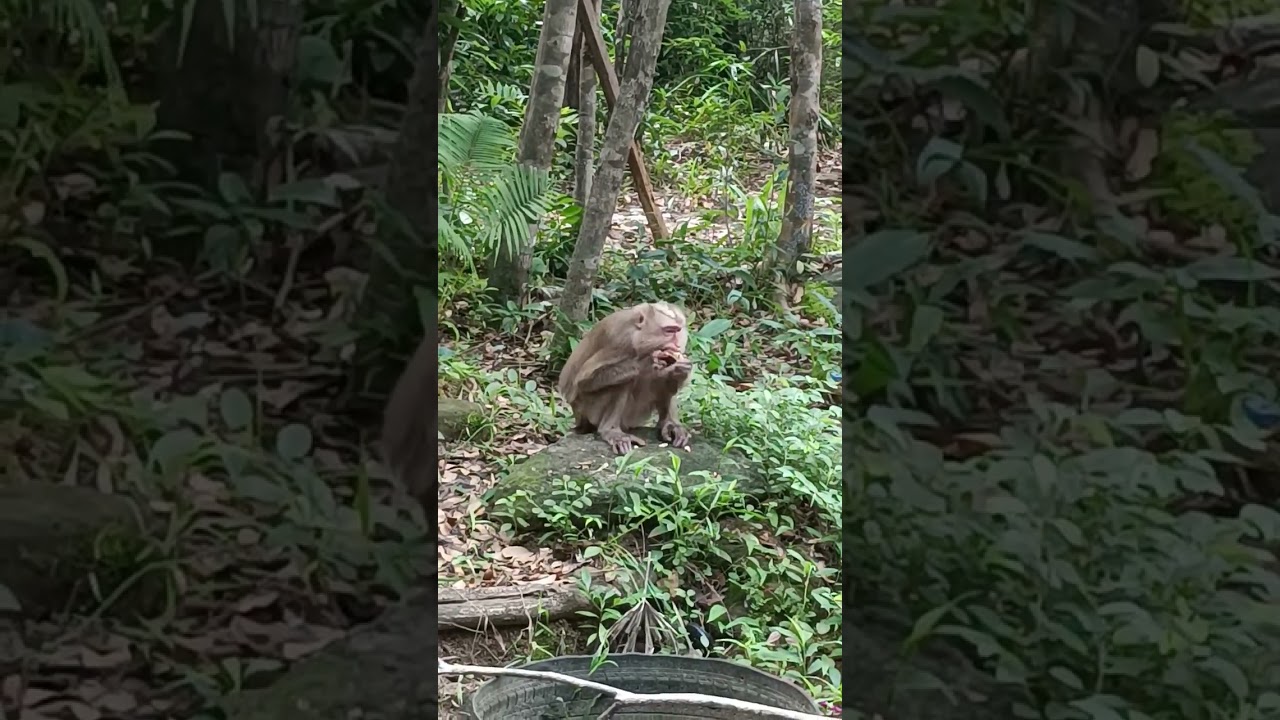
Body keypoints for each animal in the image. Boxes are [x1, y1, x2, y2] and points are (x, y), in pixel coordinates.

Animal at [557, 303, 693, 454]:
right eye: (669, 331)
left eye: (677, 331)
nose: (676, 345)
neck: (638, 338)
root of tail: (578, 416)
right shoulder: (619, 340)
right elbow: (582, 381)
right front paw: (646, 363)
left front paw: (680, 369)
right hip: (590, 410)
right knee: (623, 381)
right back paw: (611, 430)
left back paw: (669, 424)